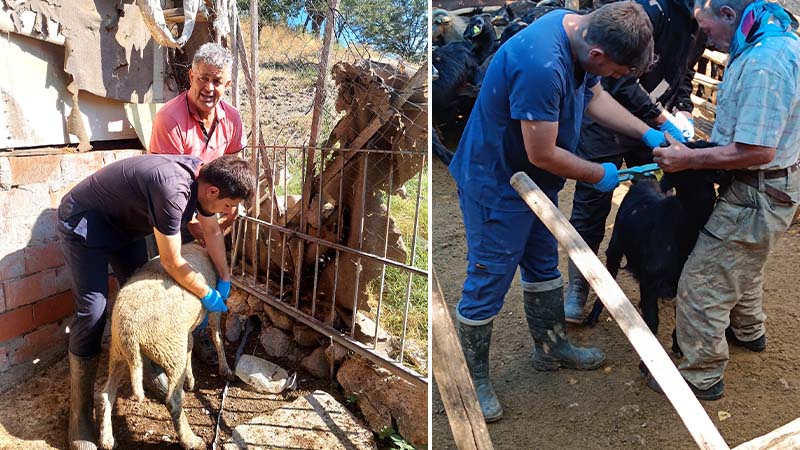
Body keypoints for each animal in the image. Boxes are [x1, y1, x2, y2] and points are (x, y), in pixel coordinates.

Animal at [96, 243, 233, 450]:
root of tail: (130, 332)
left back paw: (107, 439)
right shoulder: (213, 310)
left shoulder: (186, 331)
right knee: (173, 401)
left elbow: (190, 347)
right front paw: (225, 369)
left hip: (119, 352)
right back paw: (190, 440)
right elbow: (217, 337)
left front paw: (190, 379)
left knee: (106, 394)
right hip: (169, 349)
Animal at [584, 141, 728, 358]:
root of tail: (644, 179)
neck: (683, 228)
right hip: (615, 246)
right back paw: (593, 315)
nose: (662, 144)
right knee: (609, 275)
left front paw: (678, 346)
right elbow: (652, 324)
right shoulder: (650, 279)